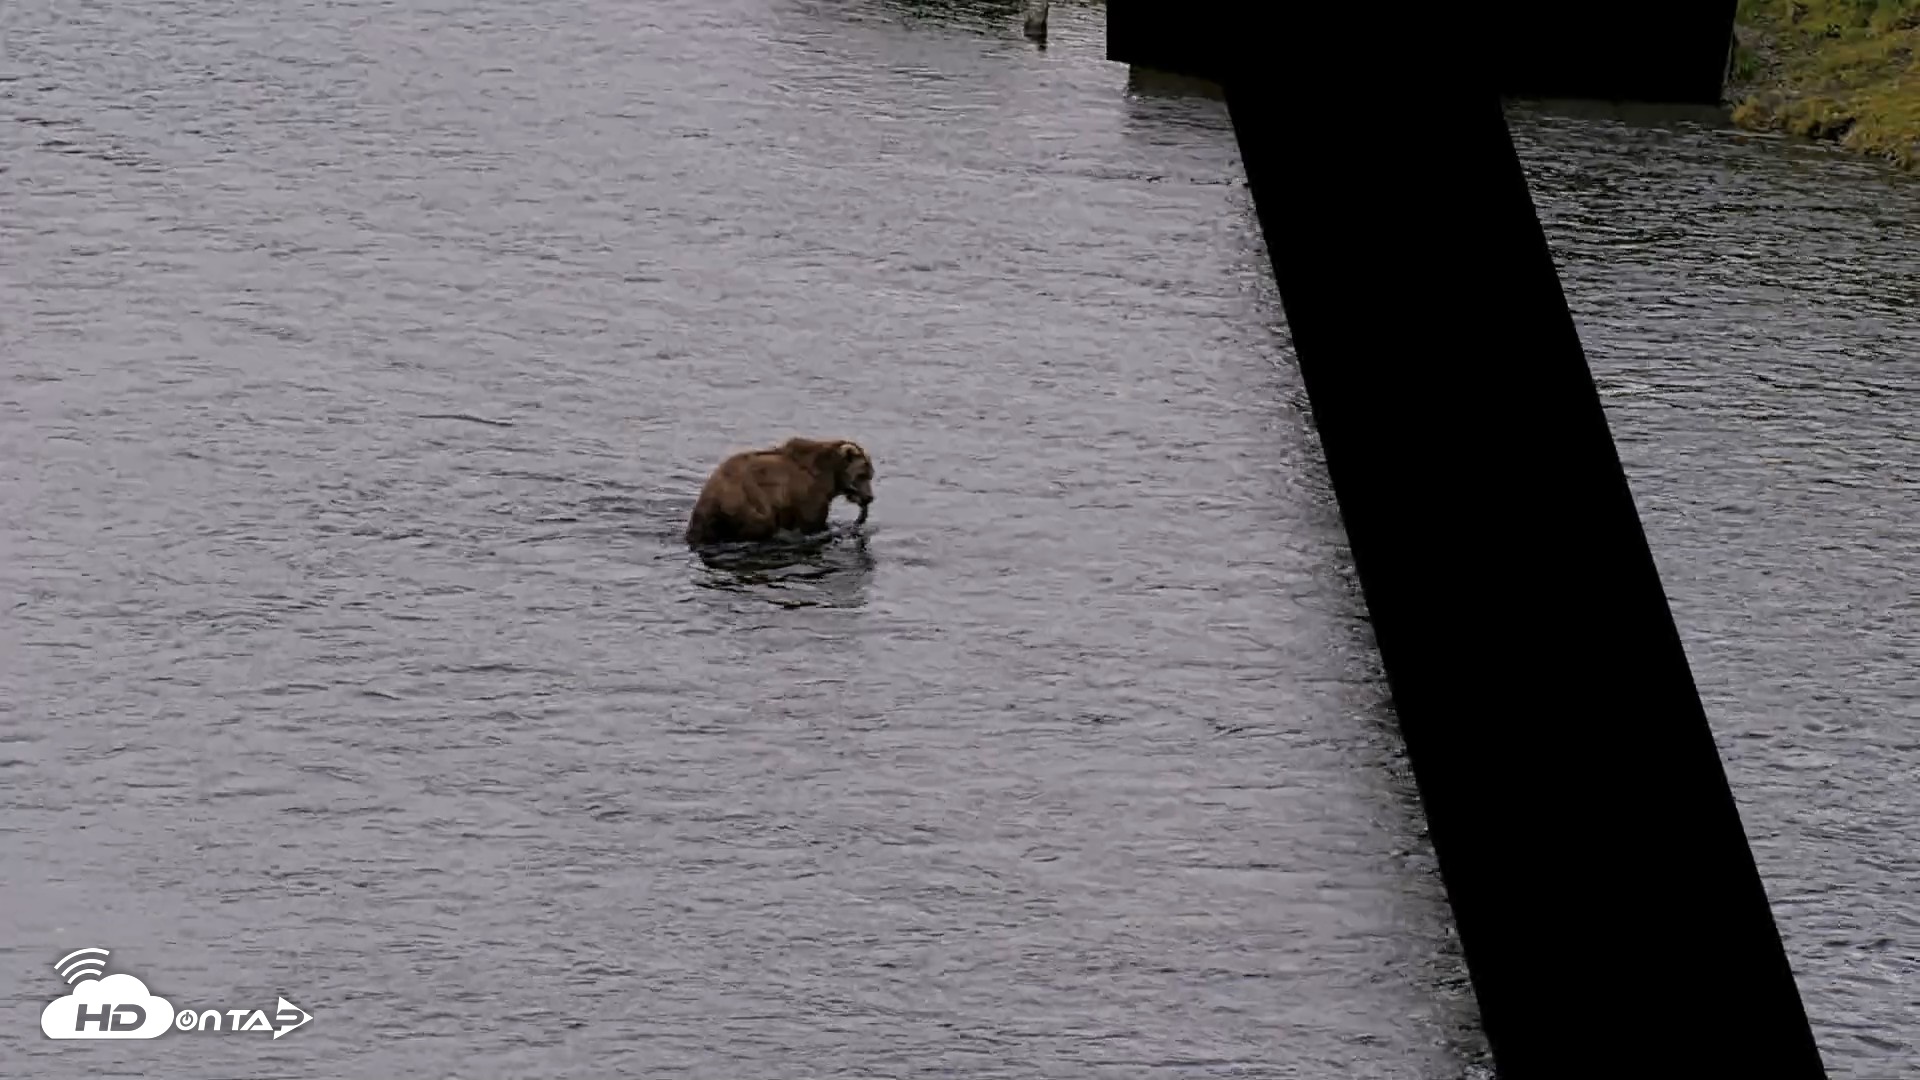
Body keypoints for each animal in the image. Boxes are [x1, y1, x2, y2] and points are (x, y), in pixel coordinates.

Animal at [684, 437, 875, 546]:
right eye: (863, 475)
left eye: (870, 475)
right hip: (748, 502)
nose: (869, 497)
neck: (830, 476)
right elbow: (812, 522)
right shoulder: (808, 493)